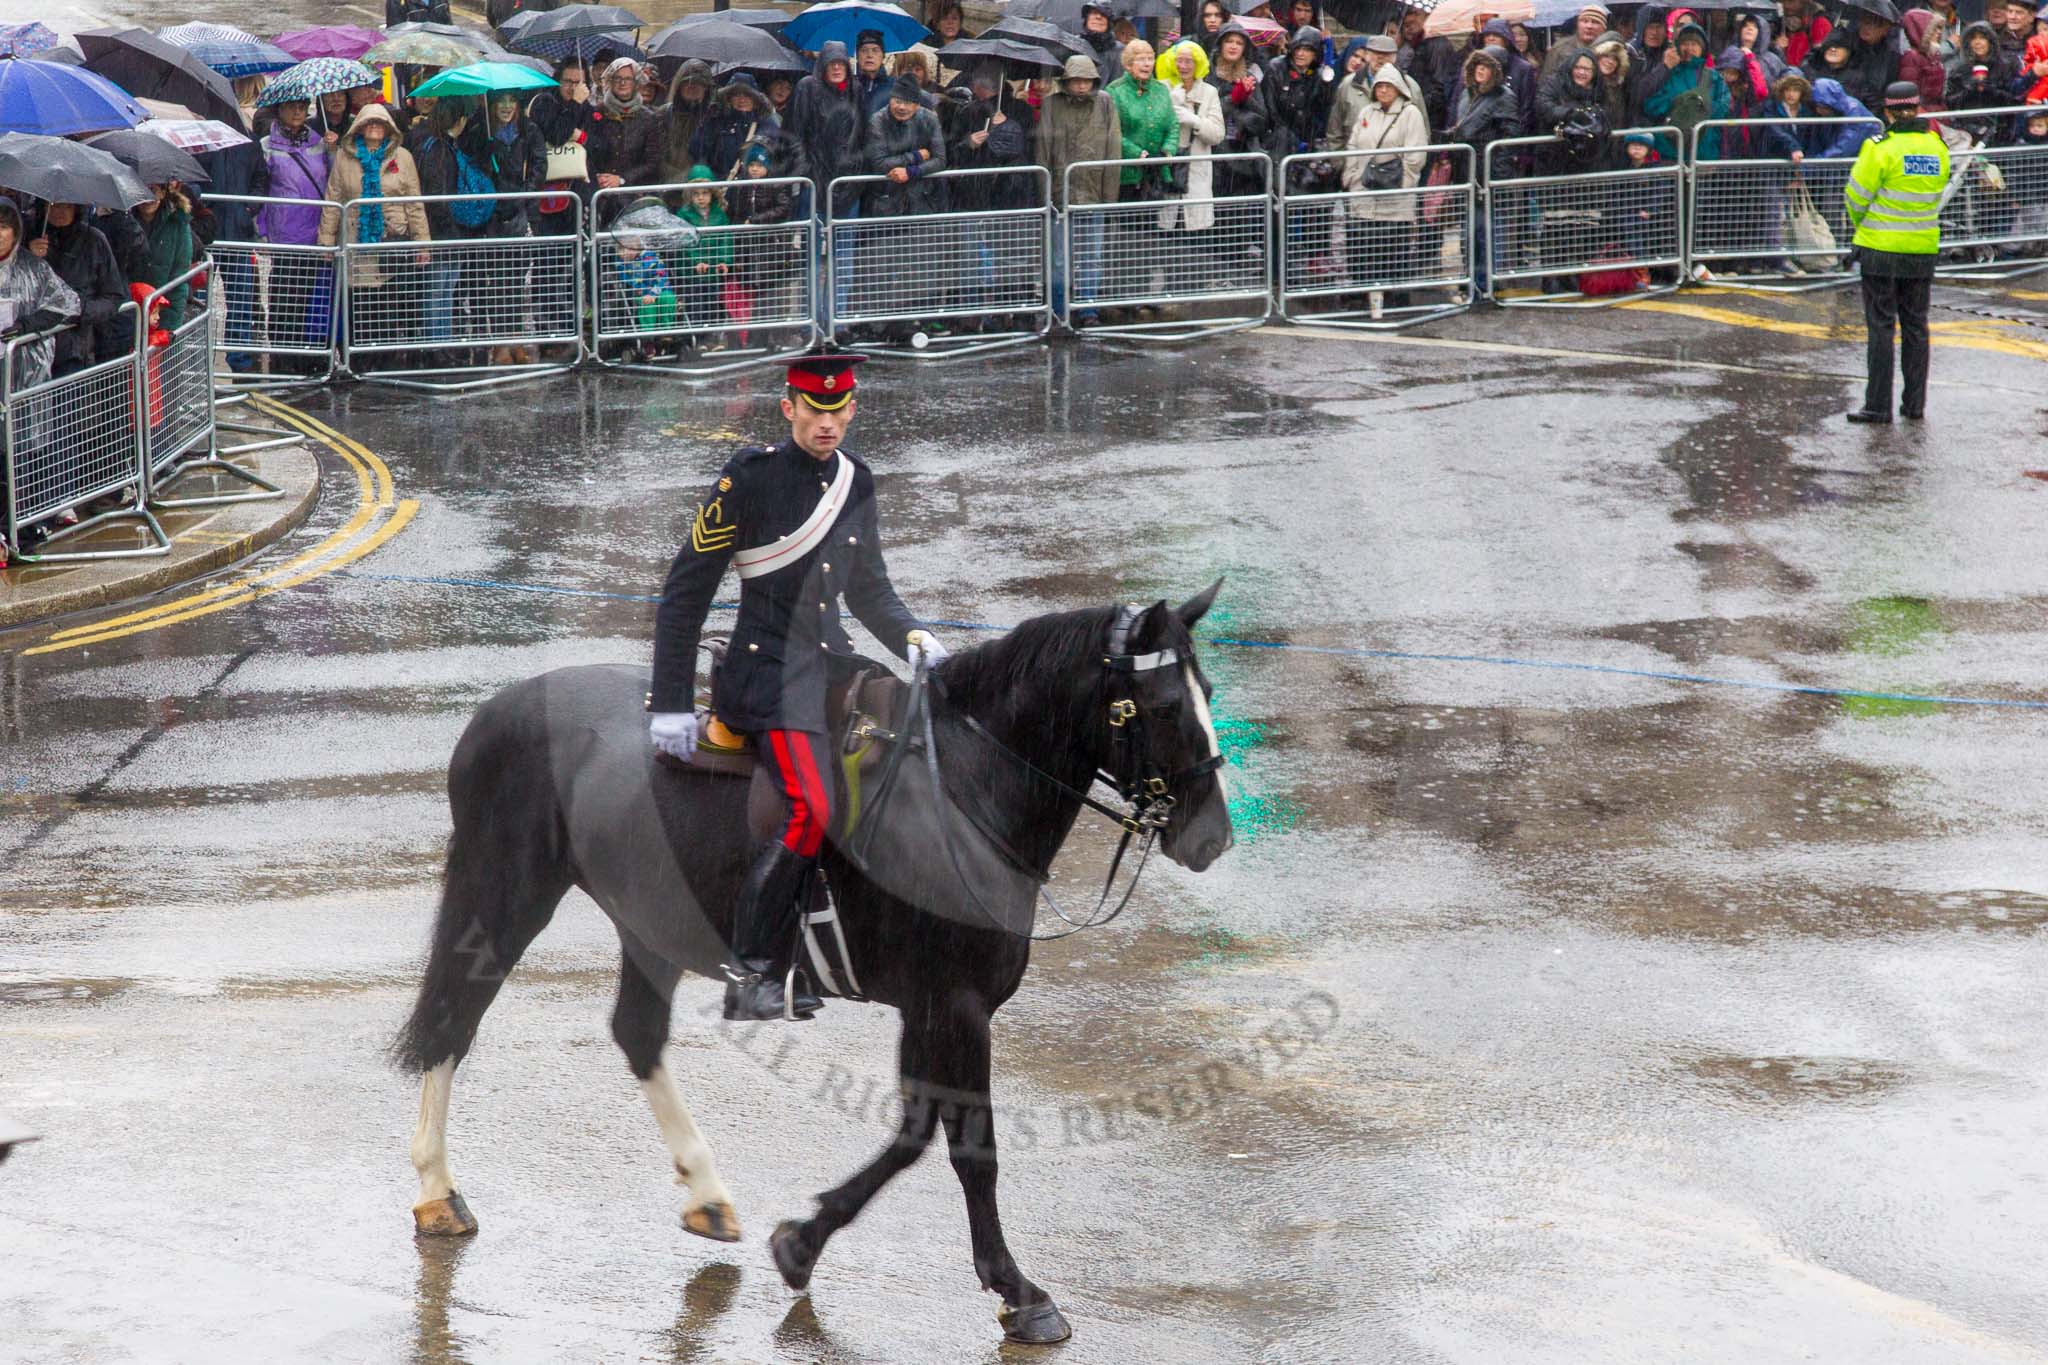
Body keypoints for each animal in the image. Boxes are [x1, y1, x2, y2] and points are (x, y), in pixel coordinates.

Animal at [395, 585, 1228, 1342]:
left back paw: (707, 1193)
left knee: (635, 1031)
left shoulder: (932, 1004)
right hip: (507, 893)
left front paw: (805, 1239)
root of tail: (498, 707)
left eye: (1209, 693)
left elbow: (916, 1129)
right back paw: (438, 1189)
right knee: (455, 1017)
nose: (1212, 837)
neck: (965, 791)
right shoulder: (954, 1001)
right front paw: (1017, 1292)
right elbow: (968, 1146)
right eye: (1160, 706)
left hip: (648, 924)